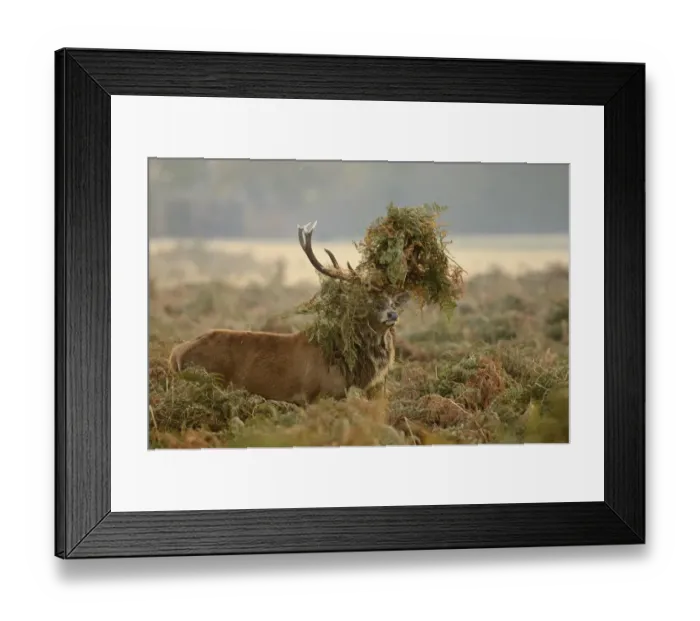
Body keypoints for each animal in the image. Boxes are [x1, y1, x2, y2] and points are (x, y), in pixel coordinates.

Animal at [168, 221, 411, 405]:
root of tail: (175, 355)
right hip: (207, 380)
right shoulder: (313, 395)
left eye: (392, 301)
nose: (392, 315)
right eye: (368, 299)